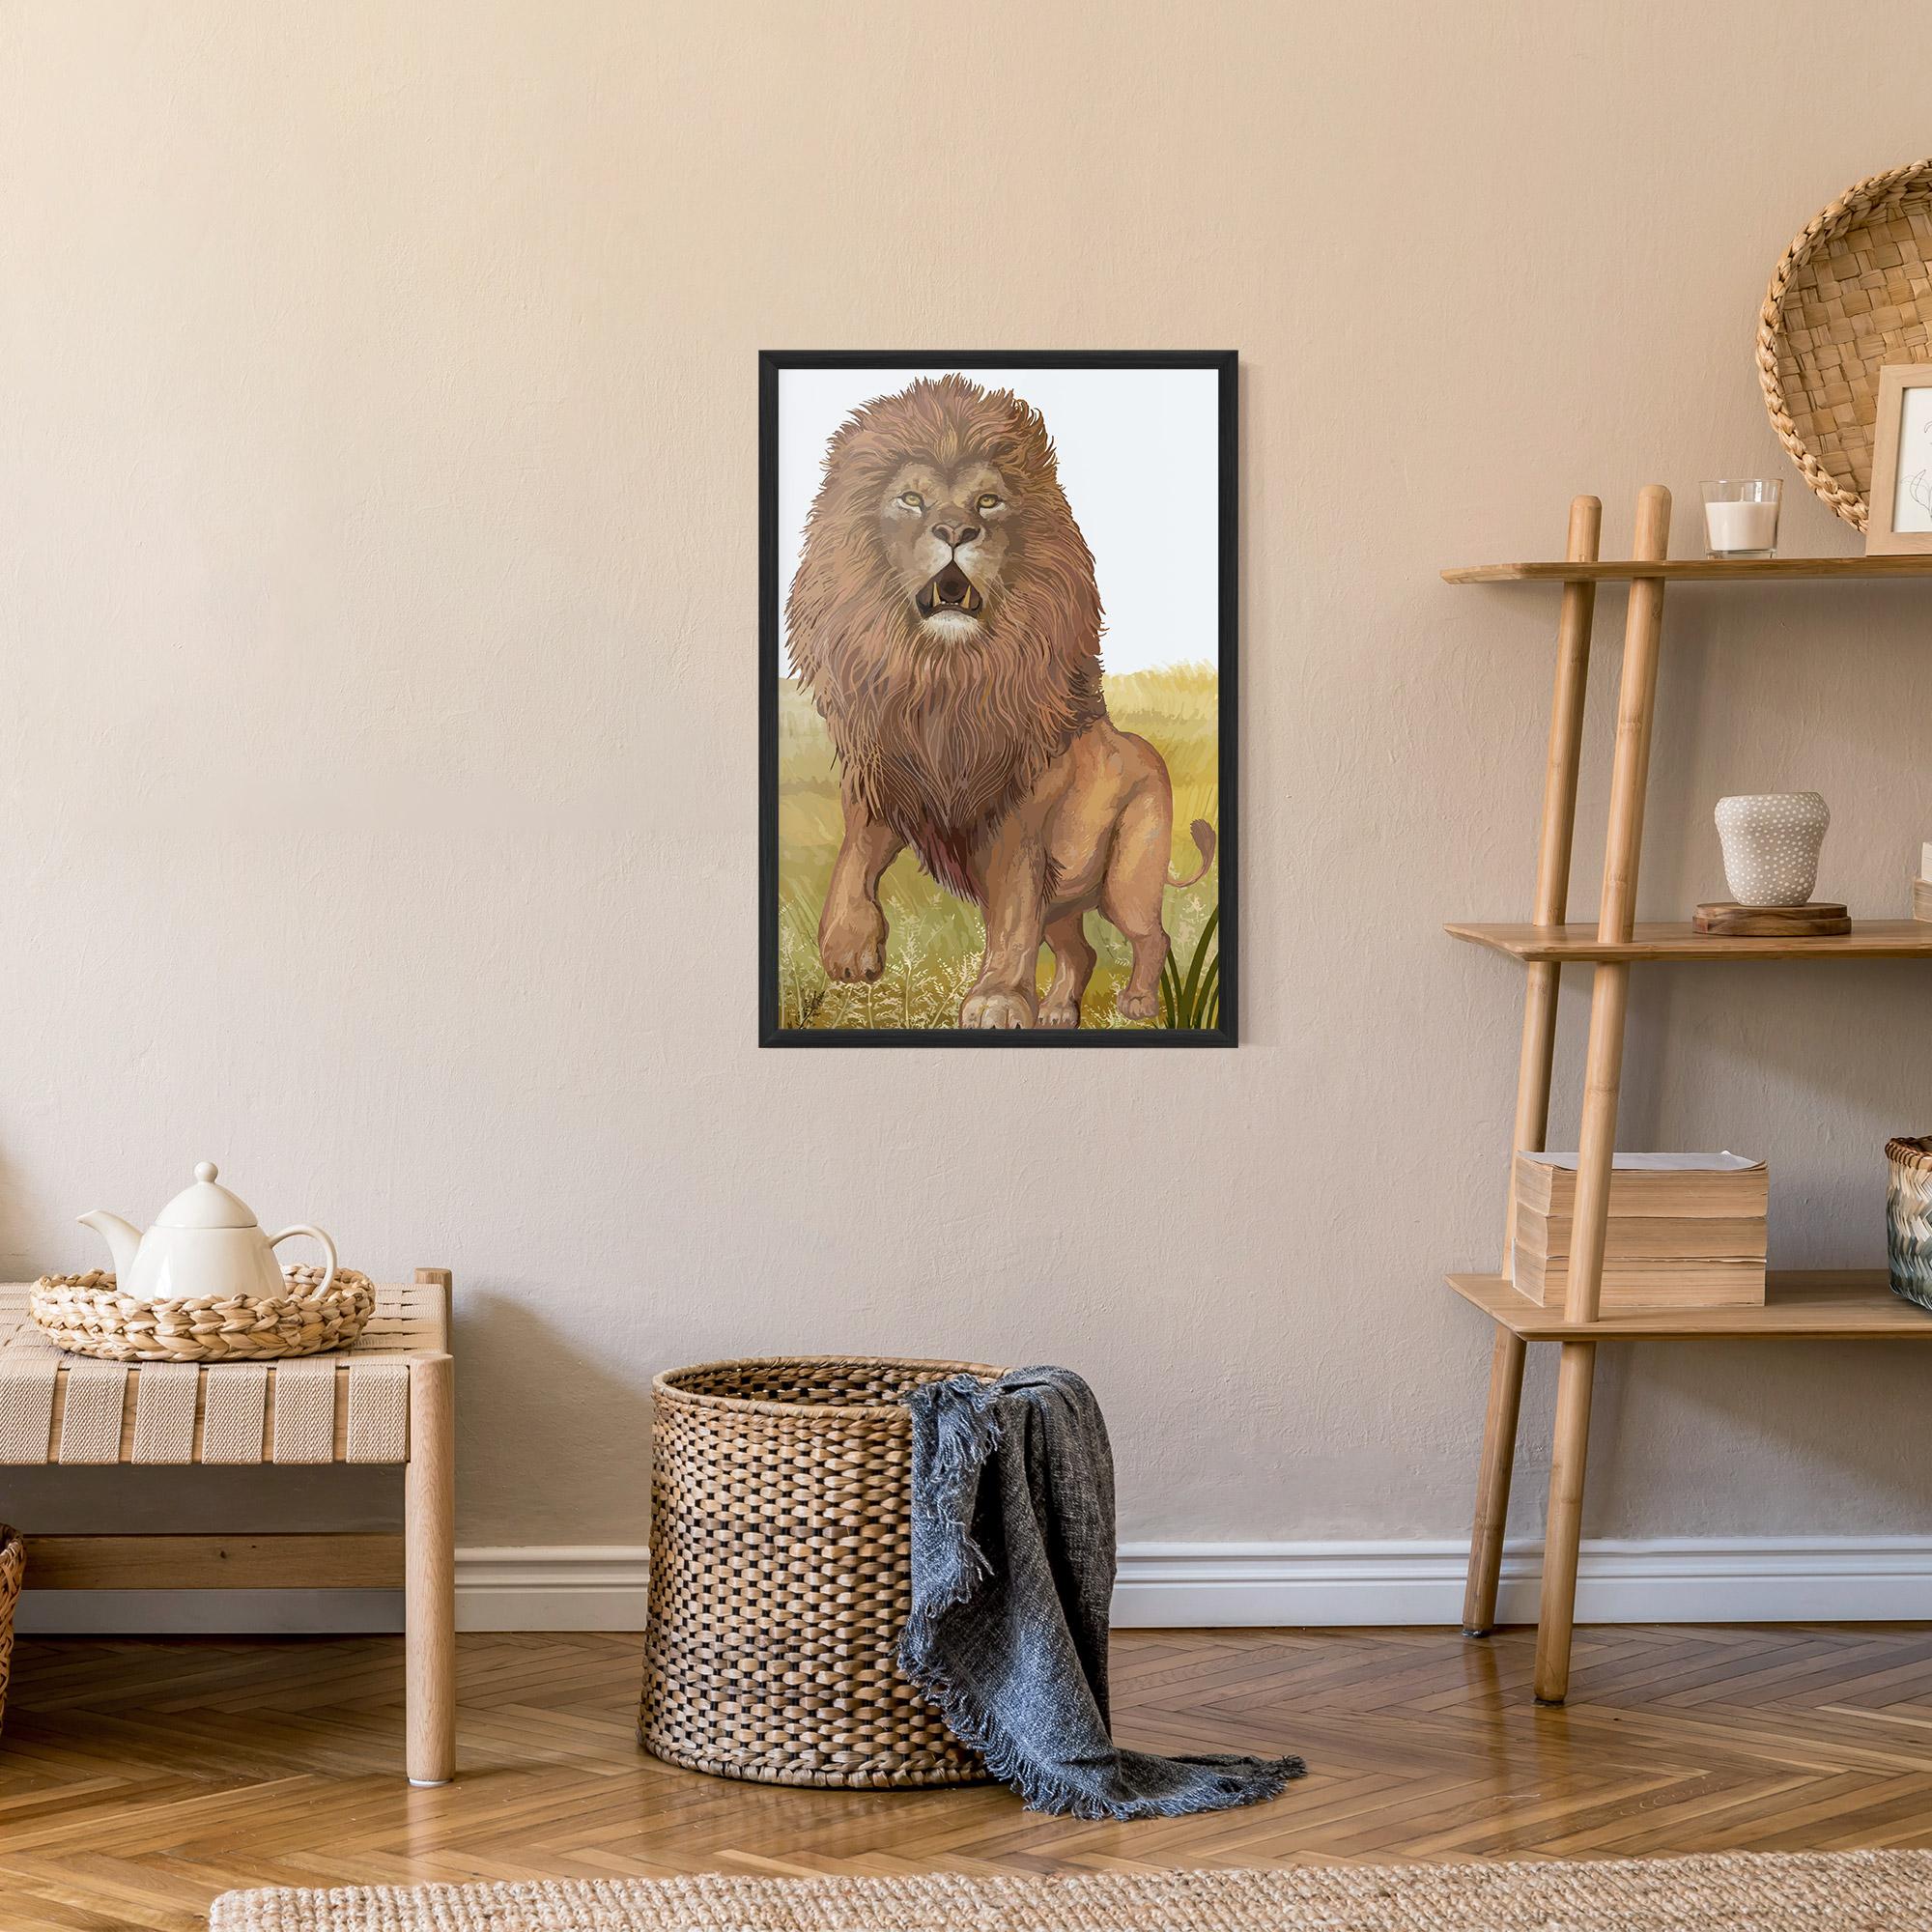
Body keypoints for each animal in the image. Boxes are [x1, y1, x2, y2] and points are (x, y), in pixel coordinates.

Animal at [786, 374, 1213, 1031]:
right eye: (911, 499)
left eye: (988, 502)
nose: (956, 532)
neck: (945, 678)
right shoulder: (888, 771)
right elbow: (853, 855)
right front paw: (847, 948)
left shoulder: (1019, 815)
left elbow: (1011, 913)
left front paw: (997, 1000)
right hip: (1068, 901)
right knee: (1081, 951)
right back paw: (1061, 1012)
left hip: (1126, 878)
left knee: (1150, 936)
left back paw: (1140, 1002)